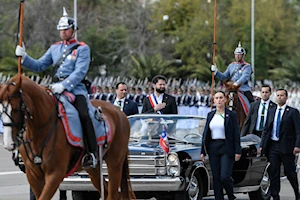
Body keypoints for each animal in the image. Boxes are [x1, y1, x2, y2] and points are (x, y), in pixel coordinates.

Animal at [0, 74, 135, 199]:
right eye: (1, 110)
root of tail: (119, 111)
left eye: (15, 109)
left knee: (113, 194)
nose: (8, 143)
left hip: (114, 164)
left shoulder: (55, 174)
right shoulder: (33, 175)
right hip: (93, 169)